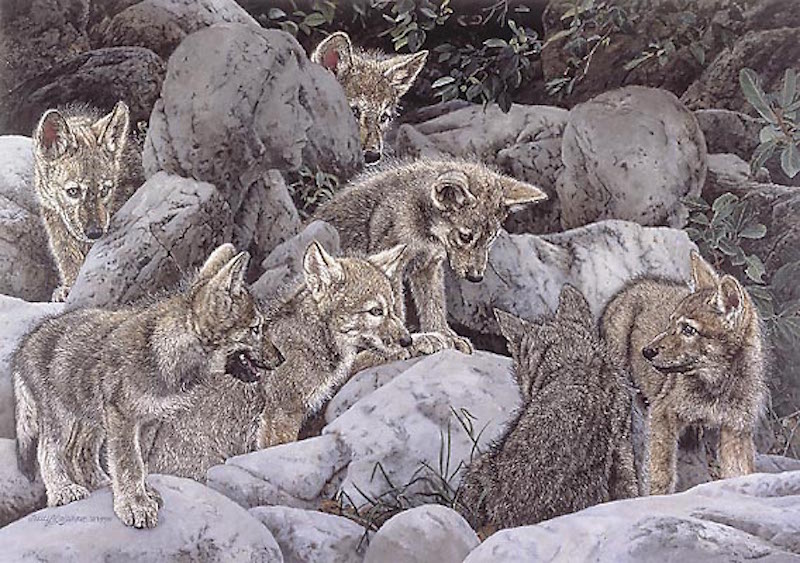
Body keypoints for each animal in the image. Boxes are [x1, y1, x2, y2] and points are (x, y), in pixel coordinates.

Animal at [12, 244, 280, 528]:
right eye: (256, 328)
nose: (281, 358)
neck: (164, 353)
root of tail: (26, 342)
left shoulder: (149, 419)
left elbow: (139, 464)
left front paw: (141, 495)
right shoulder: (123, 418)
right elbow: (128, 463)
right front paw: (134, 505)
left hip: (88, 417)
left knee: (78, 453)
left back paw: (100, 483)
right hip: (62, 418)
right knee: (47, 452)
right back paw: (62, 490)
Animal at [32, 101, 143, 302]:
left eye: (105, 190)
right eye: (73, 191)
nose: (94, 233)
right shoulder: (54, 217)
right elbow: (66, 254)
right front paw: (70, 286)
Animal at [313, 158, 547, 355]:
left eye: (491, 239)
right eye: (465, 236)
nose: (476, 277)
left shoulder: (429, 266)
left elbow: (434, 304)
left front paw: (444, 334)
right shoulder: (393, 266)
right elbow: (396, 309)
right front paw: (411, 343)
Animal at [601, 251, 767, 495]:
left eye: (688, 330)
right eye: (669, 324)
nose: (646, 351)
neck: (717, 385)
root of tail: (631, 285)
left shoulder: (736, 428)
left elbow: (738, 473)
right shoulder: (663, 413)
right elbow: (661, 473)